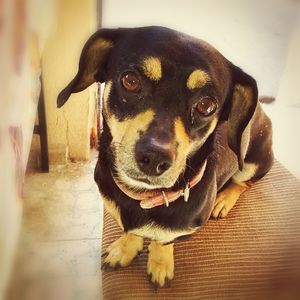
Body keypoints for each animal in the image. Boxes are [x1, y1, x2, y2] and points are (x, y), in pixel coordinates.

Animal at [56, 25, 274, 288]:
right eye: (130, 81)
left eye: (206, 105)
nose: (154, 157)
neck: (143, 197)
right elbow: (130, 231)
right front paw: (125, 249)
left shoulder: (178, 231)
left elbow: (162, 241)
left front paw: (159, 265)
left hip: (253, 162)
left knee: (244, 182)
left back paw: (223, 200)